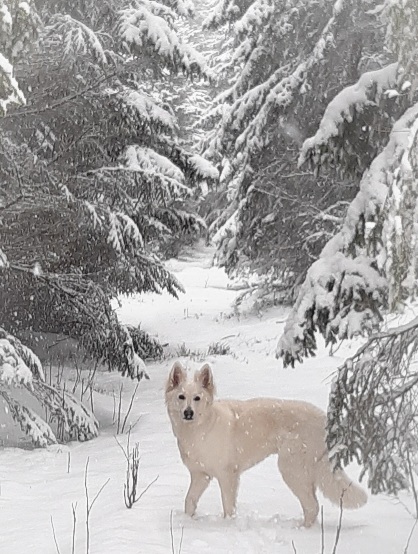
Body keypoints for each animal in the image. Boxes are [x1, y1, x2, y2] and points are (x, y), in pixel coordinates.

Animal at [165, 361, 367, 527]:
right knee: (313, 505)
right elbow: (189, 501)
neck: (201, 428)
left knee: (312, 506)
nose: (188, 413)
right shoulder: (200, 475)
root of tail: (325, 421)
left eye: (197, 398)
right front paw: (188, 521)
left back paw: (302, 531)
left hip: (291, 469)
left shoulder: (227, 476)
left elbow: (228, 507)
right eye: (181, 397)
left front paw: (228, 526)